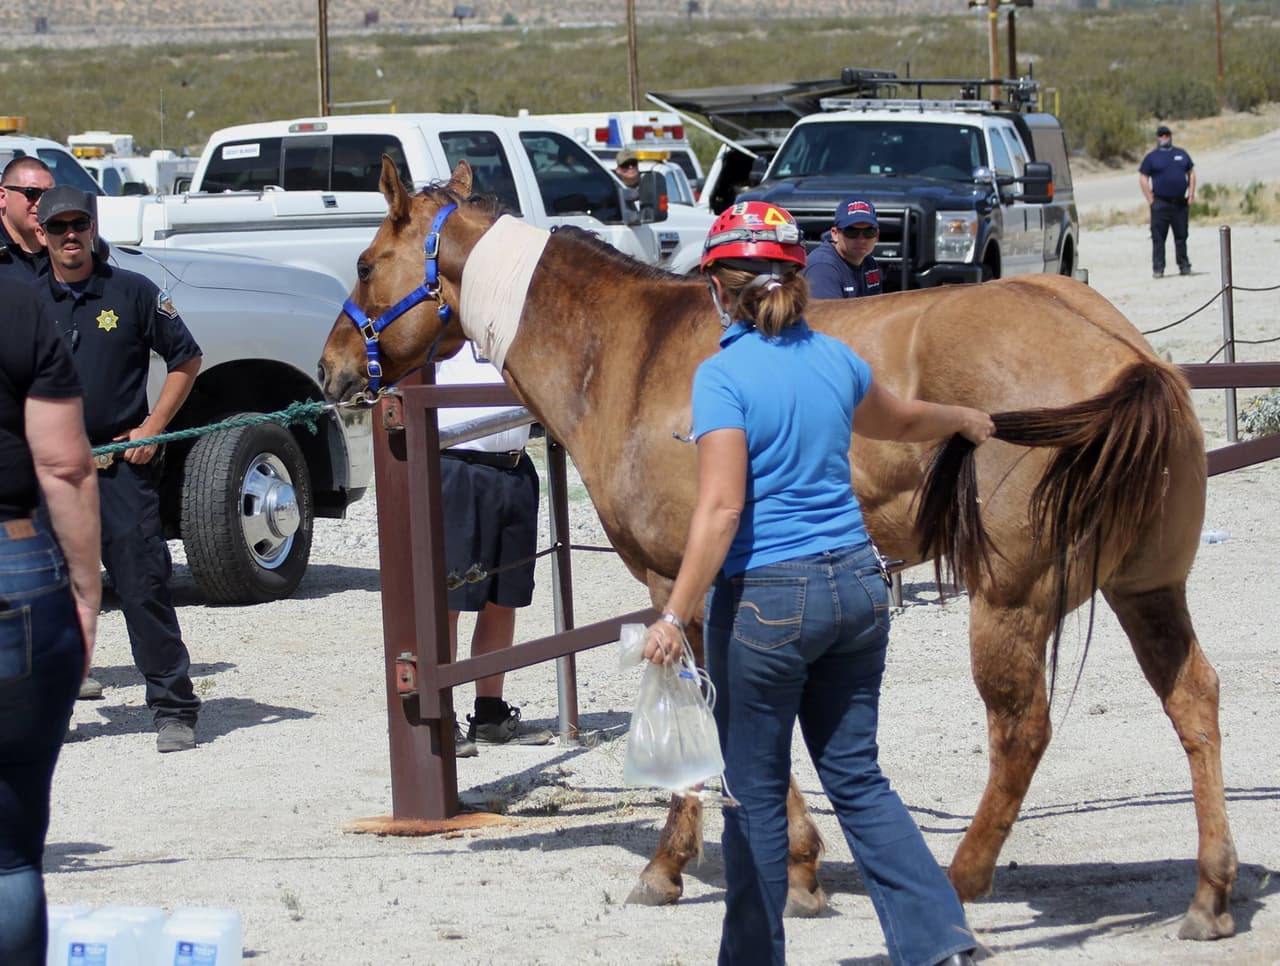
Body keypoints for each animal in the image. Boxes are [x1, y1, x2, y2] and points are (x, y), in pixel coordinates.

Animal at [318, 157, 1237, 942]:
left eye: (364, 263)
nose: (329, 369)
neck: (626, 351)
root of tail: (1127, 355)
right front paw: (796, 868)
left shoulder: (675, 583)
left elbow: (716, 715)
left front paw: (687, 866)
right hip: (1148, 590)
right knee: (1194, 700)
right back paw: (1210, 892)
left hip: (1010, 602)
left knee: (1022, 731)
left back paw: (963, 880)